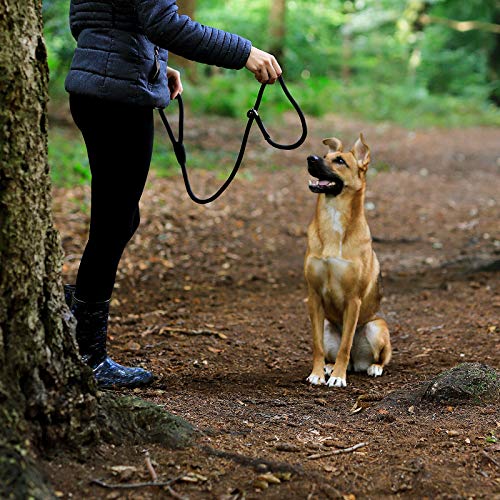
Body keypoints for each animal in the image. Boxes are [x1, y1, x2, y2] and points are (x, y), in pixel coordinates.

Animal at [302, 134, 392, 386]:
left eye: (340, 161)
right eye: (325, 156)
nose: (310, 158)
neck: (333, 216)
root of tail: (355, 362)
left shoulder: (353, 300)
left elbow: (346, 344)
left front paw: (338, 378)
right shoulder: (313, 296)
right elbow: (317, 345)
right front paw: (317, 373)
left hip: (376, 327)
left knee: (379, 357)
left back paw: (371, 367)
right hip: (325, 324)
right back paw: (329, 367)